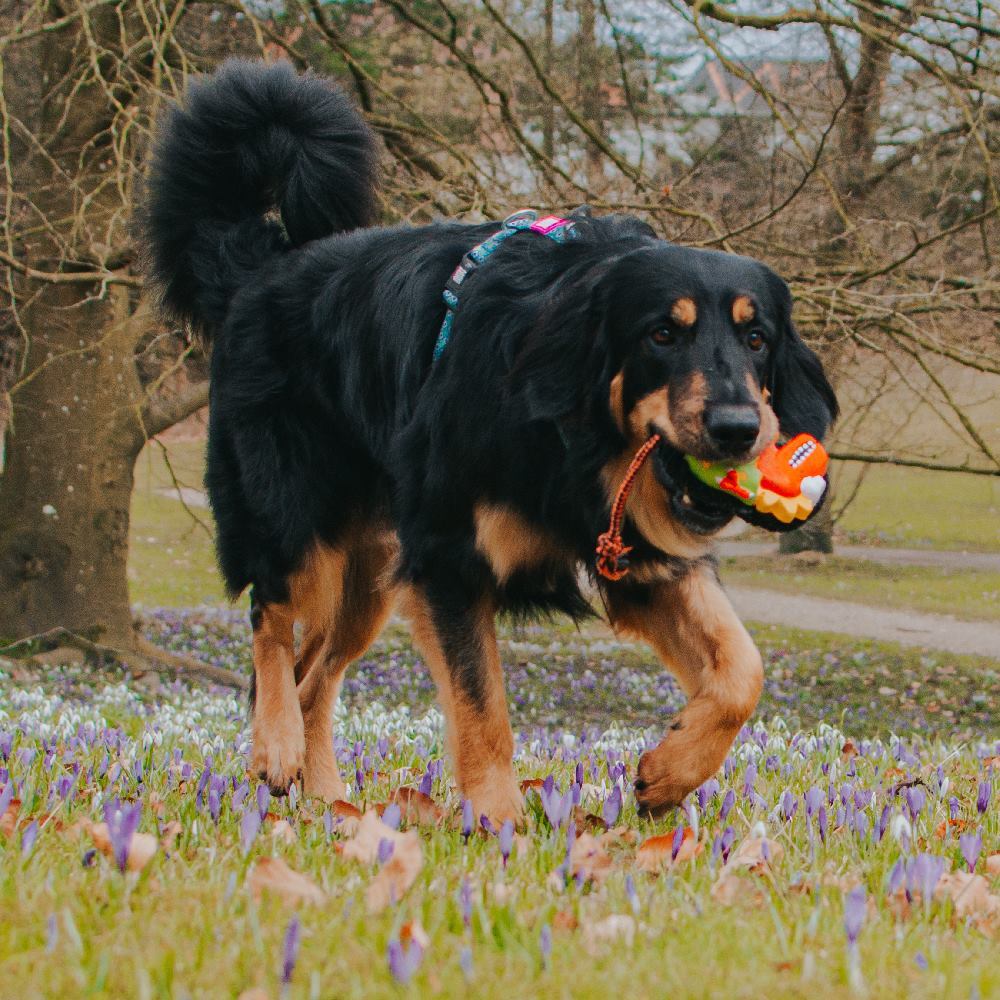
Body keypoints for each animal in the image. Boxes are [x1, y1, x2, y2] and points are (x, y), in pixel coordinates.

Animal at [145, 62, 836, 824]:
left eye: (757, 337)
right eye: (662, 334)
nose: (739, 428)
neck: (570, 440)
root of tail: (259, 270)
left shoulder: (632, 556)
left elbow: (743, 670)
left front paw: (671, 769)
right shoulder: (449, 561)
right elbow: (484, 712)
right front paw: (502, 825)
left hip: (372, 573)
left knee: (314, 675)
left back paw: (328, 803)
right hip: (299, 521)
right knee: (270, 621)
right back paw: (277, 749)